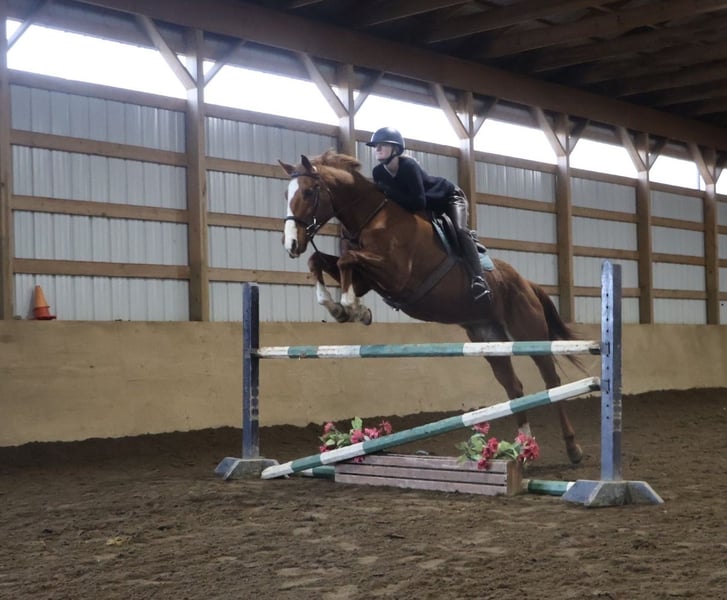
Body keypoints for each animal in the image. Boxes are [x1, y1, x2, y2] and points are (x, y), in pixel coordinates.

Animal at [279, 150, 585, 463]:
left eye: (308, 191)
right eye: (287, 194)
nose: (291, 244)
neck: (371, 218)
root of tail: (527, 283)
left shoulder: (397, 275)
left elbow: (346, 260)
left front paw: (351, 307)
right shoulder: (368, 279)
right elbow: (321, 261)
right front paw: (343, 309)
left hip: (528, 333)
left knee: (551, 381)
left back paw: (572, 449)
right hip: (488, 338)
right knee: (514, 386)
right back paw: (523, 448)